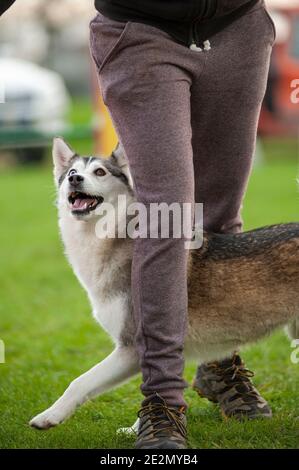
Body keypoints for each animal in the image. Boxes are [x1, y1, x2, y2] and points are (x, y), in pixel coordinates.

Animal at [29, 135, 299, 430]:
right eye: (70, 172)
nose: (75, 179)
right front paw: (138, 429)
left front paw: (48, 416)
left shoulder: (131, 347)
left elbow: (80, 382)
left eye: (99, 172)